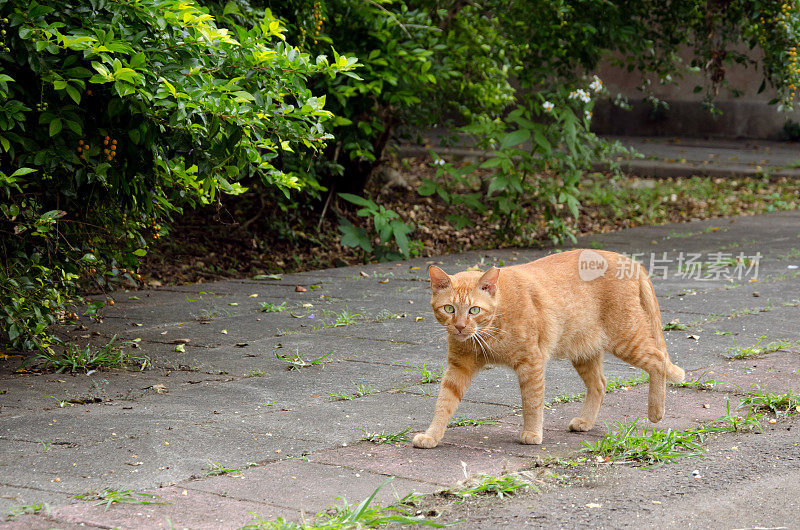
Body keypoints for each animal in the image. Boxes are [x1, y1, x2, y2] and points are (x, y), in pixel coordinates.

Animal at [412, 250, 680, 448]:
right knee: (599, 385)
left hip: (626, 339)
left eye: (474, 310)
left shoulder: (531, 363)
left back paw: (656, 411)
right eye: (449, 309)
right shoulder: (458, 367)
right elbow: (444, 402)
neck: (489, 331)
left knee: (657, 361)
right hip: (584, 350)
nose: (459, 327)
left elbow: (532, 402)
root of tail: (630, 261)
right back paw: (585, 421)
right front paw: (432, 435)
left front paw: (532, 433)